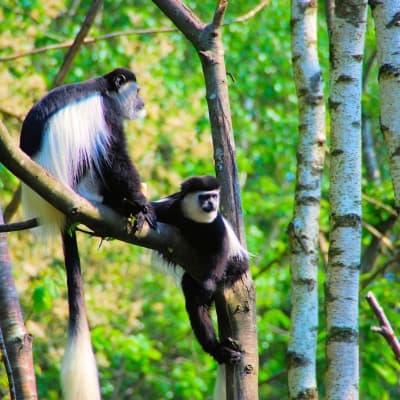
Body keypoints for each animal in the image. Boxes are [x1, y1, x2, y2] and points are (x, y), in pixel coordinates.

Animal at [19, 67, 155, 398]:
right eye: (137, 91)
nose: (142, 102)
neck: (103, 89)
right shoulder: (106, 114)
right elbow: (115, 156)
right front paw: (140, 203)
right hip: (82, 180)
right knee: (100, 157)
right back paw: (122, 205)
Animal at [152, 177, 248, 364]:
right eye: (204, 197)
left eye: (214, 196)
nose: (211, 204)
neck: (195, 219)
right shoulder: (170, 208)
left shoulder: (216, 225)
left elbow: (220, 251)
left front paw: (209, 284)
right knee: (195, 303)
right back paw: (218, 350)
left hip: (235, 265)